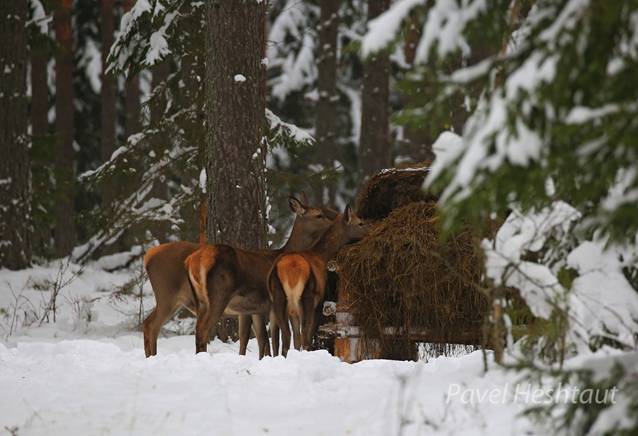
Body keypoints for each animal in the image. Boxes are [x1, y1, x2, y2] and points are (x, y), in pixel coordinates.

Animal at [142, 195, 338, 358]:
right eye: (319, 215)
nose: (336, 219)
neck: (285, 252)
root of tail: (148, 255)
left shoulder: (250, 309)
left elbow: (254, 338)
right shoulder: (269, 304)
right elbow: (271, 339)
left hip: (186, 299)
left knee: (152, 323)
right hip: (180, 295)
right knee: (166, 326)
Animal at [268, 204, 370, 354]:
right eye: (360, 223)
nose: (371, 230)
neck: (322, 257)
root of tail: (289, 271)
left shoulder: (293, 311)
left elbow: (296, 340)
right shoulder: (319, 302)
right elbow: (307, 334)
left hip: (278, 298)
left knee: (288, 336)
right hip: (307, 297)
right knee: (304, 334)